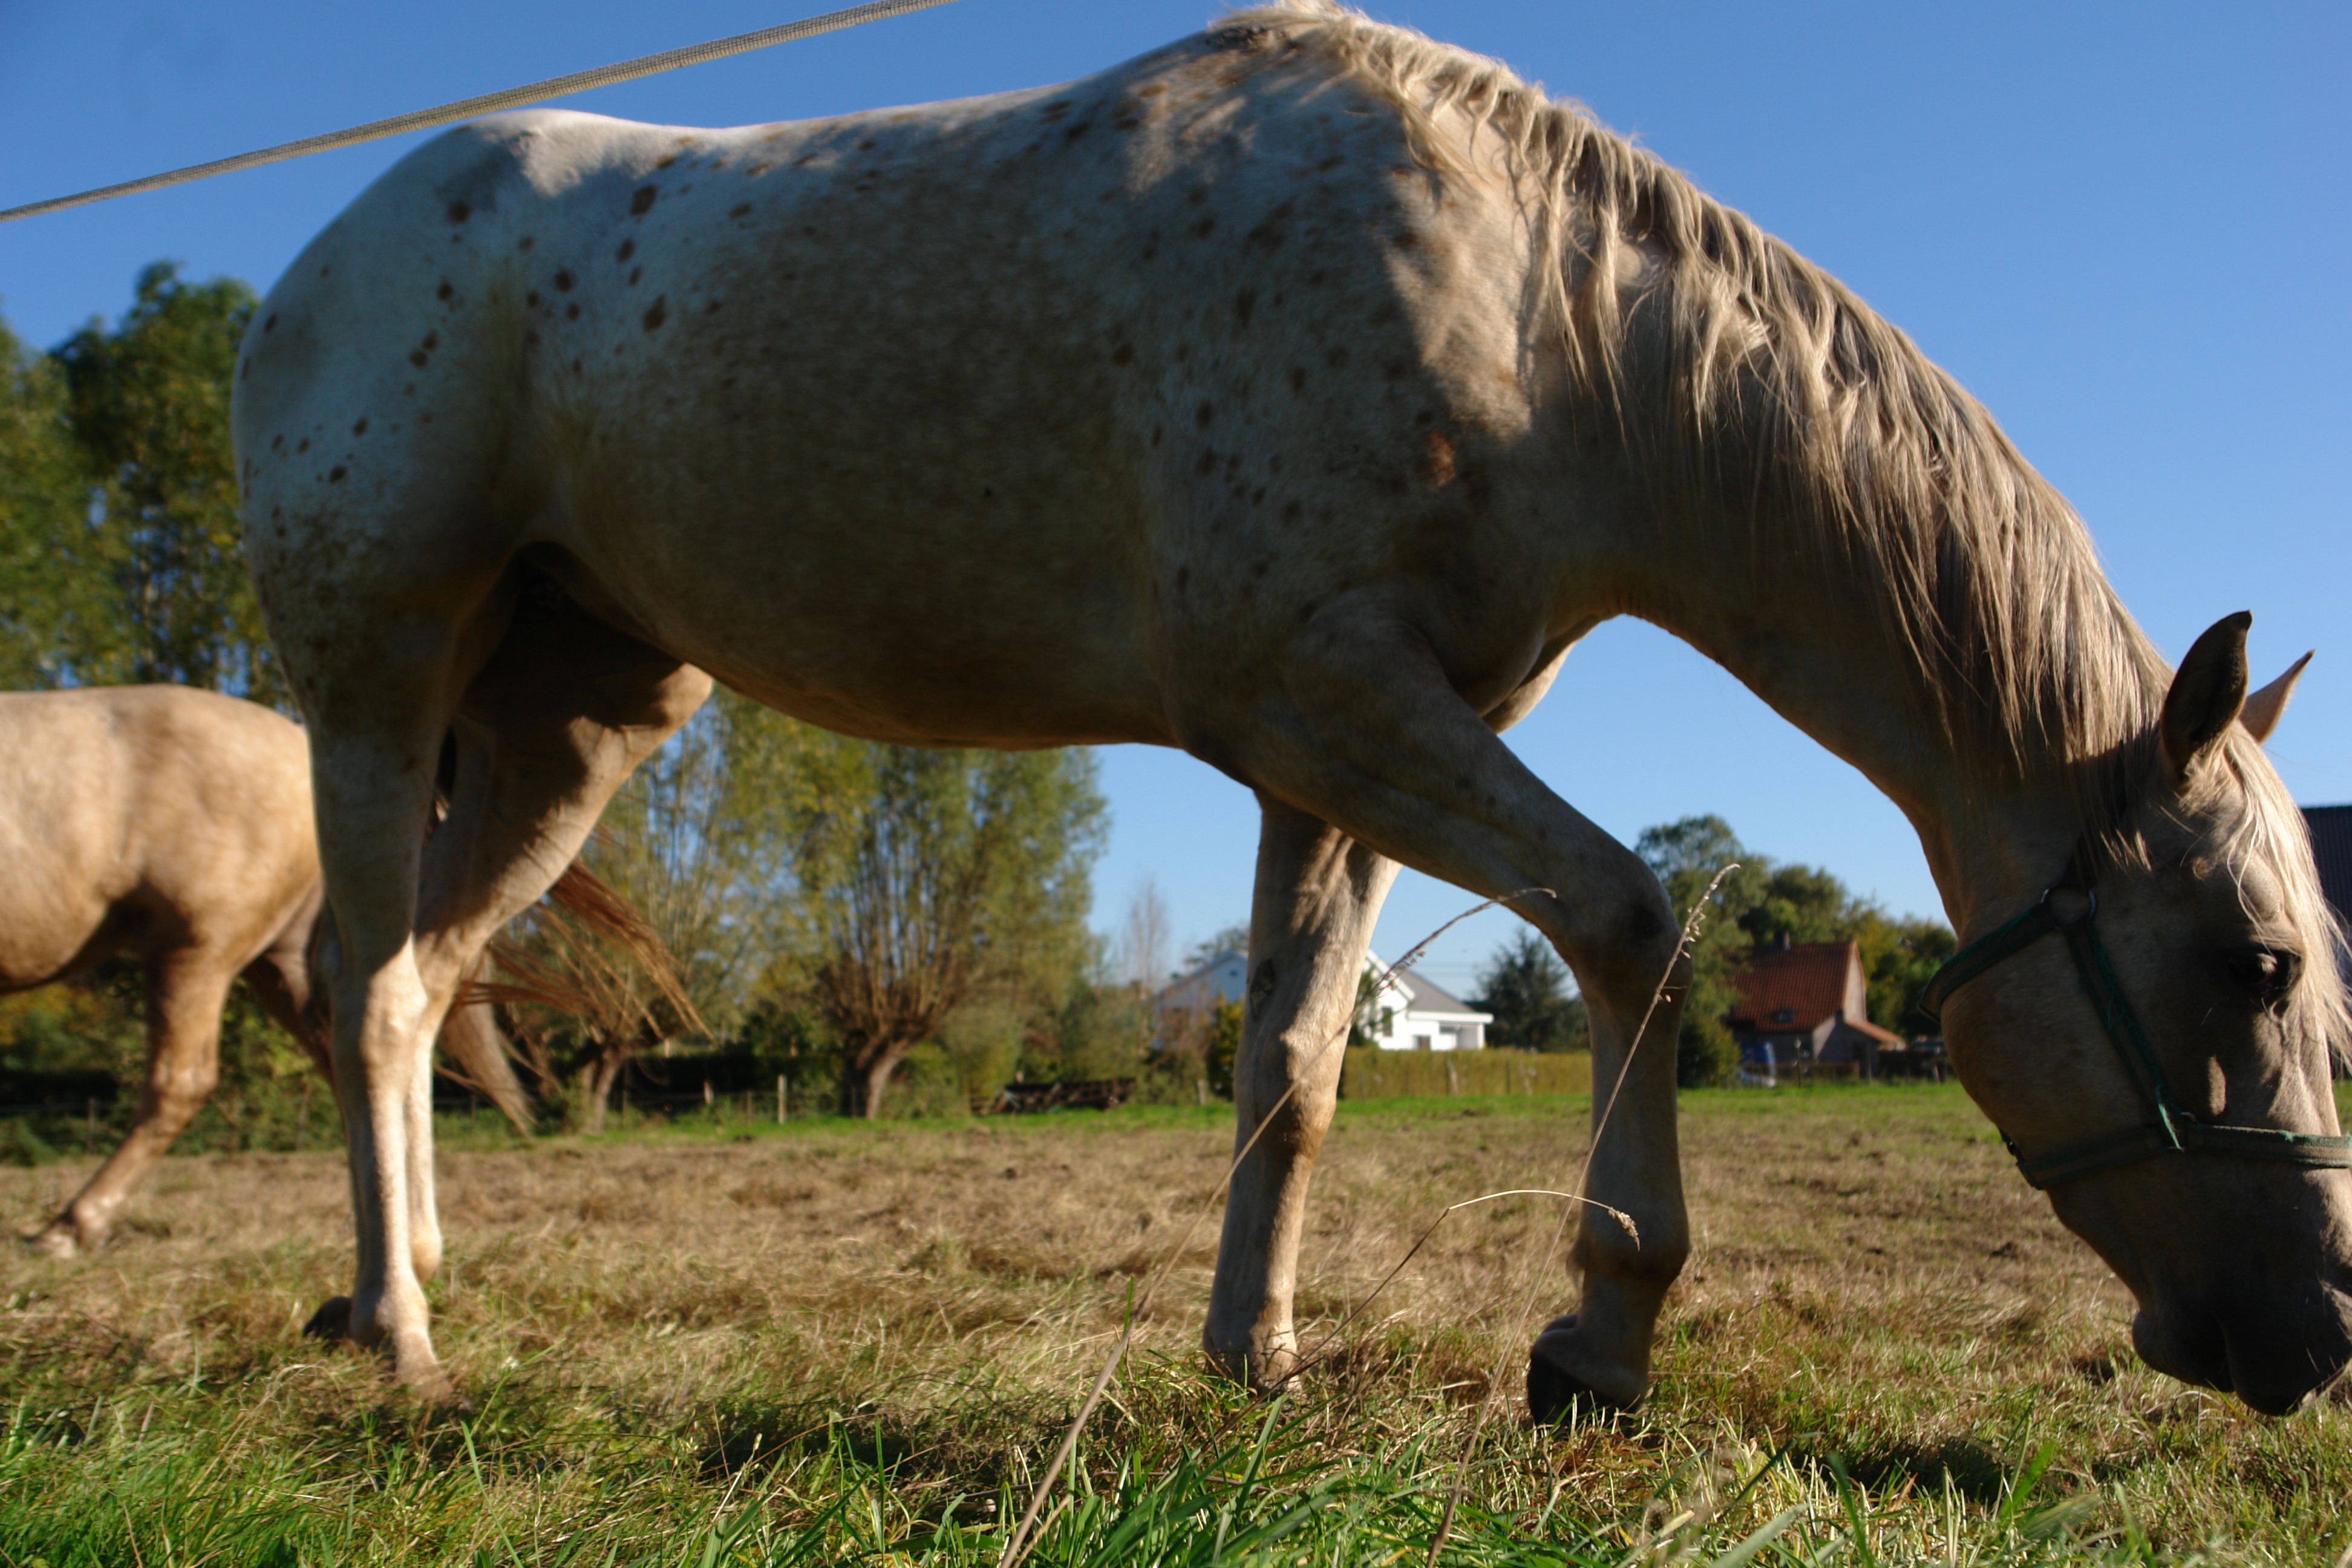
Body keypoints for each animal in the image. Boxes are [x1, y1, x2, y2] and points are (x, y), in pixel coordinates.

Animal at [3, 691, 529, 1259]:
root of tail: (299, 740)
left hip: (197, 948)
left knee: (179, 1084)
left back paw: (72, 1226)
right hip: (279, 964)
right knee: (347, 1066)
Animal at [234, 0, 2352, 1420]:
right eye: (2252, 964)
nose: (2320, 1341)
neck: (1534, 309)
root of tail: (310, 267)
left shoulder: (1337, 759)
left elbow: (1299, 1071)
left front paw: (1252, 1354)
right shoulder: (1327, 698)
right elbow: (1633, 923)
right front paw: (1598, 1336)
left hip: (571, 730)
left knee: (421, 981)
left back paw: (394, 1280)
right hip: (377, 685)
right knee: (368, 985)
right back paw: (401, 1337)